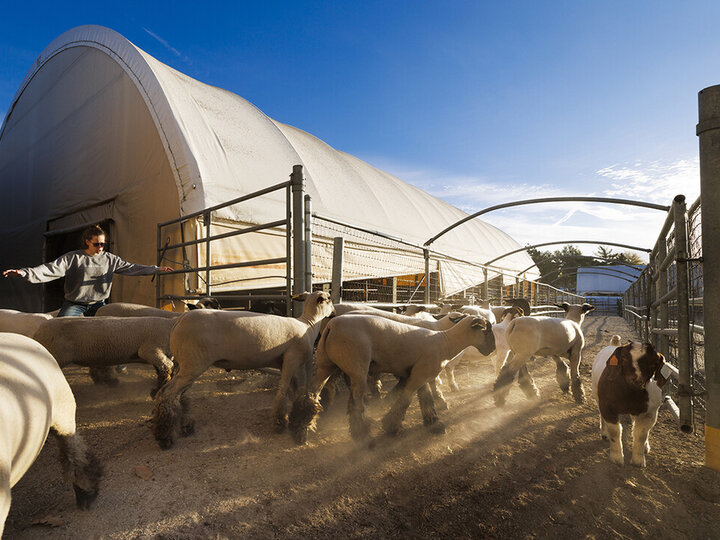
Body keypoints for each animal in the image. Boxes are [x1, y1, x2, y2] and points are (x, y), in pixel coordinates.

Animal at [33, 316, 176, 396]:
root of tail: (38, 332)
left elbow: (164, 369)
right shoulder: (150, 350)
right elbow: (167, 367)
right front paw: (156, 391)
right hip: (54, 354)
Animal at [153, 292, 334, 448]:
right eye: (330, 299)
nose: (334, 312)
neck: (308, 324)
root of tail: (179, 321)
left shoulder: (287, 363)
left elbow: (294, 390)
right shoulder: (292, 359)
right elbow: (284, 391)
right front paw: (280, 424)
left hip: (185, 364)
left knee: (177, 396)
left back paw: (183, 426)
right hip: (193, 363)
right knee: (167, 394)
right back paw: (165, 437)